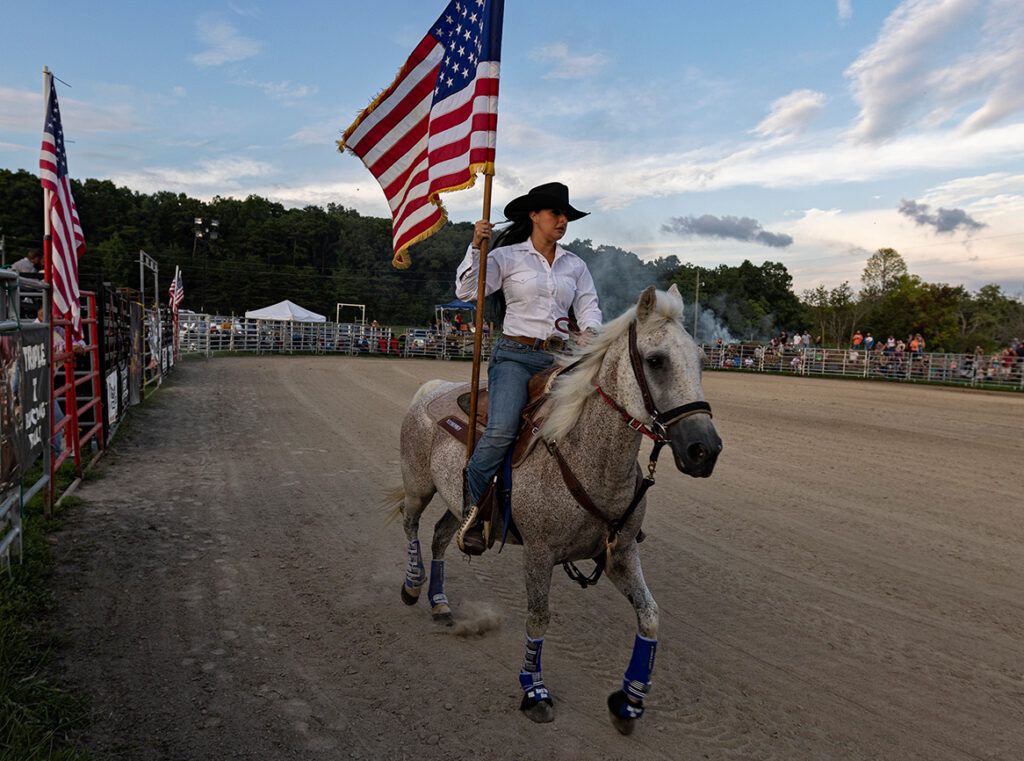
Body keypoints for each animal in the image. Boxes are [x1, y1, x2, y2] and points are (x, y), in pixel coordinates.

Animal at [391, 284, 720, 733]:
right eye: (656, 360)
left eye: (702, 361)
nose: (705, 450)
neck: (586, 455)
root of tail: (432, 385)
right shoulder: (538, 552)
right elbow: (538, 618)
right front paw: (534, 691)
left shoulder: (621, 553)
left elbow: (650, 615)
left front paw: (630, 702)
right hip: (418, 486)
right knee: (411, 526)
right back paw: (412, 585)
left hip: (460, 505)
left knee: (442, 537)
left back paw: (440, 602)